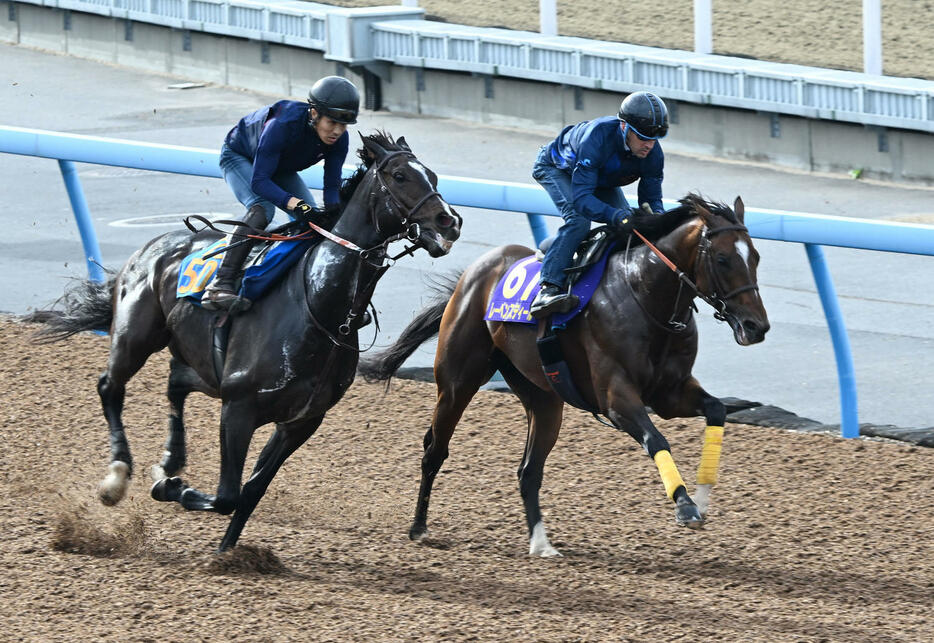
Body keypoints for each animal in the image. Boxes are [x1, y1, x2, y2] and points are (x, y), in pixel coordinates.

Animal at [31, 132, 462, 552]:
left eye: (434, 177)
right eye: (400, 176)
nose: (449, 220)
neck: (320, 309)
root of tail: (149, 248)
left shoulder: (301, 421)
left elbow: (250, 491)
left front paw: (226, 552)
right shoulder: (239, 409)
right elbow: (227, 495)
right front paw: (171, 488)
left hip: (203, 366)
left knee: (175, 381)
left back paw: (170, 460)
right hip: (136, 336)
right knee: (111, 386)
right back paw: (118, 476)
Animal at [358, 195, 768, 560]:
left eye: (756, 257)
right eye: (722, 258)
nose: (756, 327)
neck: (644, 294)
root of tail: (473, 273)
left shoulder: (670, 393)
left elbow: (716, 410)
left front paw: (702, 496)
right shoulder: (616, 399)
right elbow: (656, 439)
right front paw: (685, 506)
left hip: (543, 397)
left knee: (528, 471)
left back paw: (540, 544)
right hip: (457, 381)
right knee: (435, 450)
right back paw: (419, 527)